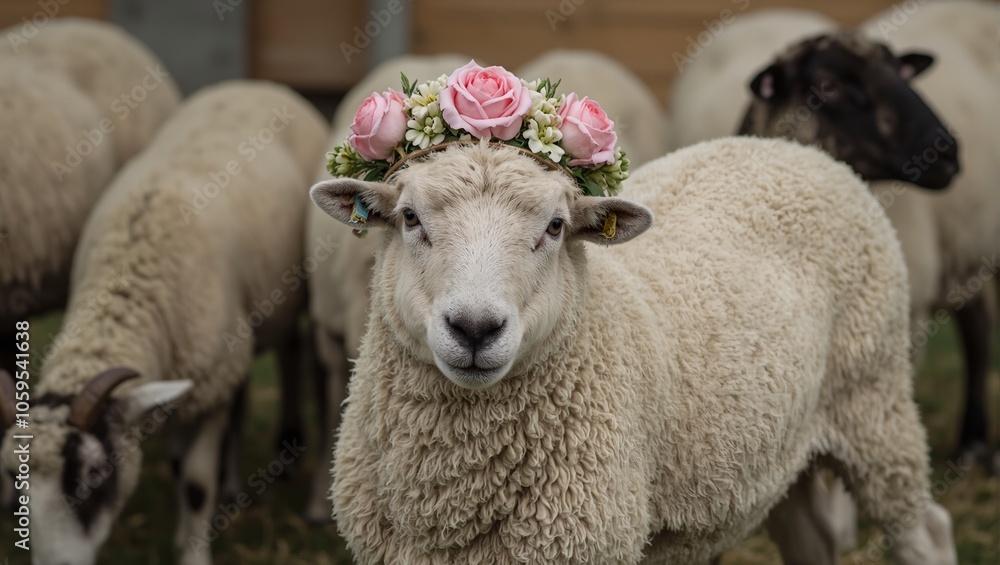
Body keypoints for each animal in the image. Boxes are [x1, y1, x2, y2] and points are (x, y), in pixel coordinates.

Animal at [0, 80, 329, 565]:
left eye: (94, 476)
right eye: (15, 484)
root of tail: (254, 83)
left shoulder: (211, 387)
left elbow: (195, 483)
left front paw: (194, 552)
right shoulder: (181, 381)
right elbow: (176, 466)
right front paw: (184, 534)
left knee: (292, 350)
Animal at [309, 136, 955, 564]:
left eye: (554, 227)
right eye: (410, 218)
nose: (474, 327)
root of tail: (796, 148)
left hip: (874, 397)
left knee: (926, 530)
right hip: (782, 444)